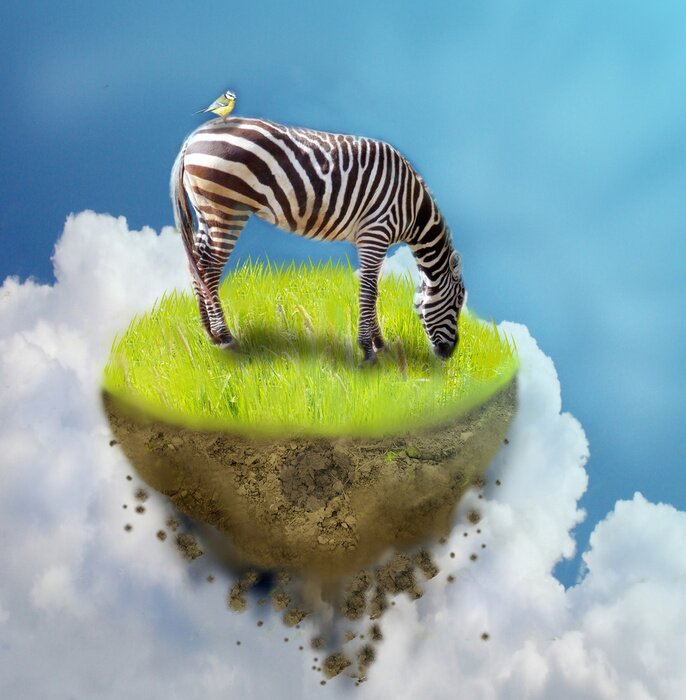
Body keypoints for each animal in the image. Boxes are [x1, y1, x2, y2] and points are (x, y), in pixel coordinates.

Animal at [171, 116, 467, 363]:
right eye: (458, 302)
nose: (450, 353)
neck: (413, 208)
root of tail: (193, 138)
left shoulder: (369, 239)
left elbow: (374, 292)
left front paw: (380, 344)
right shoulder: (375, 233)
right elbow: (369, 292)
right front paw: (368, 350)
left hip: (206, 211)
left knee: (196, 264)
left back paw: (209, 333)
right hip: (226, 208)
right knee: (209, 268)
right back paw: (226, 338)